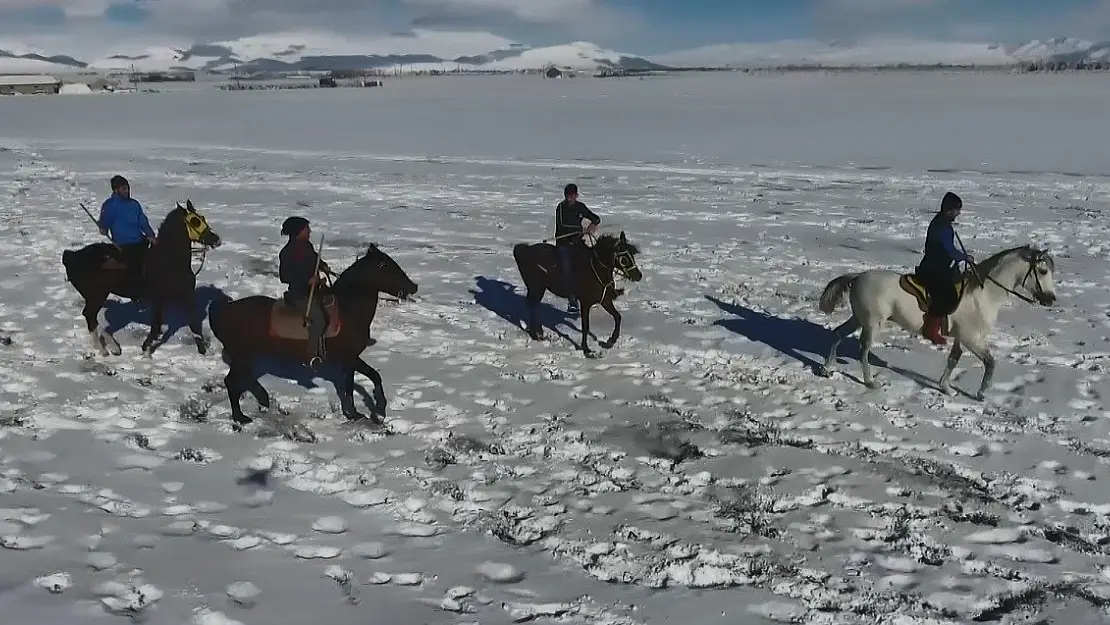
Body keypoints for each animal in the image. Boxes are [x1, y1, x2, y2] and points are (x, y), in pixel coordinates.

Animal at [60, 200, 223, 357]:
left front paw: (204, 350)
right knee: (89, 316)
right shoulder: (159, 298)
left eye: (202, 218)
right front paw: (146, 350)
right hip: (96, 295)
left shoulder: (184, 296)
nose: (216, 240)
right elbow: (157, 327)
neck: (169, 260)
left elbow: (193, 323)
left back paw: (112, 347)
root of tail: (71, 256)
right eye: (195, 221)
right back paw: (105, 349)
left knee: (91, 317)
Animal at [206, 243, 417, 430]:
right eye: (388, 267)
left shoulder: (348, 361)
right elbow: (371, 377)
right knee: (231, 382)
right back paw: (240, 417)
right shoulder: (350, 357)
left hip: (246, 357)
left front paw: (354, 413)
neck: (348, 311)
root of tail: (224, 310)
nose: (414, 287)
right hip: (243, 357)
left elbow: (354, 383)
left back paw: (262, 400)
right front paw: (378, 410)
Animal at [510, 230, 643, 357]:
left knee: (534, 306)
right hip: (537, 287)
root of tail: (525, 250)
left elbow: (617, 317)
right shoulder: (585, 303)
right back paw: (537, 334)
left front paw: (610, 341)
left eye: (632, 255)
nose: (638, 276)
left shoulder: (604, 300)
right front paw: (587, 350)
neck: (594, 270)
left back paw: (538, 333)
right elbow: (585, 326)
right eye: (624, 258)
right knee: (533, 306)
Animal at [816, 245, 1056, 401]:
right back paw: (869, 381)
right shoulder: (971, 338)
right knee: (863, 349)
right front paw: (980, 394)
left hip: (859, 319)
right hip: (873, 323)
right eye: (1043, 271)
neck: (983, 296)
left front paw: (946, 389)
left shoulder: (960, 338)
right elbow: (990, 363)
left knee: (837, 334)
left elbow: (953, 360)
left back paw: (827, 369)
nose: (1051, 299)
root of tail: (857, 276)